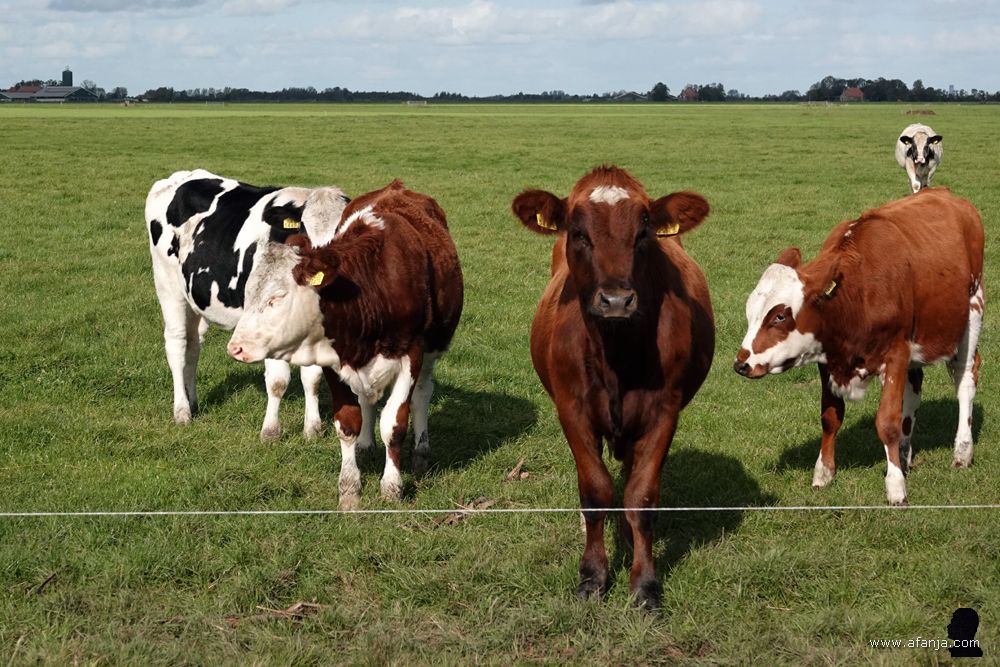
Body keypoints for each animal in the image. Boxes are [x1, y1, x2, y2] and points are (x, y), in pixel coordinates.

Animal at [145, 169, 351, 442]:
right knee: (176, 344)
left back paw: (193, 402)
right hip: (168, 287)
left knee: (194, 345)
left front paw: (313, 429)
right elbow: (277, 380)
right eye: (304, 229)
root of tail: (182, 176)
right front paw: (270, 432)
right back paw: (181, 411)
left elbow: (313, 377)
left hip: (197, 299)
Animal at [226, 181, 464, 510]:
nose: (235, 348)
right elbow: (348, 422)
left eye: (277, 298)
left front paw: (392, 486)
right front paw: (350, 489)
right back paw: (365, 445)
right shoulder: (335, 358)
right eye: (248, 294)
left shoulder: (411, 355)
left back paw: (421, 453)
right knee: (367, 399)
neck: (372, 289)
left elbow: (394, 424)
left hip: (433, 349)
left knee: (422, 395)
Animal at [511, 166, 715, 610]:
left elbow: (641, 496)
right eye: (578, 233)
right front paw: (593, 575)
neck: (616, 354)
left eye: (643, 234)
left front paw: (645, 583)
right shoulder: (572, 410)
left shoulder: (664, 412)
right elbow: (595, 491)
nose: (617, 300)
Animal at [734, 188, 984, 505]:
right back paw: (905, 452)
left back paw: (962, 451)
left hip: (973, 308)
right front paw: (824, 472)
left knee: (965, 378)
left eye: (779, 316)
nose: (741, 363)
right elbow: (830, 417)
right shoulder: (829, 359)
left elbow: (887, 422)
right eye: (750, 312)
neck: (858, 293)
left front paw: (895, 486)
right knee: (914, 389)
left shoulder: (896, 352)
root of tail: (943, 193)